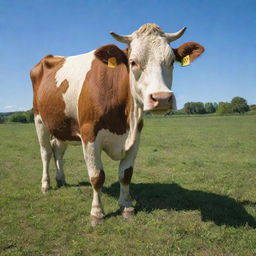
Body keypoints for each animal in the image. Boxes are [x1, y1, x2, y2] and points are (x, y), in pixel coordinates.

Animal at [31, 24, 205, 224]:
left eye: (171, 61)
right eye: (133, 62)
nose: (161, 98)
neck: (124, 120)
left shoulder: (135, 137)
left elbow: (125, 174)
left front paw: (126, 206)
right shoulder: (89, 135)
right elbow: (97, 176)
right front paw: (97, 213)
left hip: (61, 124)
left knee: (58, 150)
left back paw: (61, 179)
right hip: (39, 120)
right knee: (46, 153)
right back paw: (46, 185)